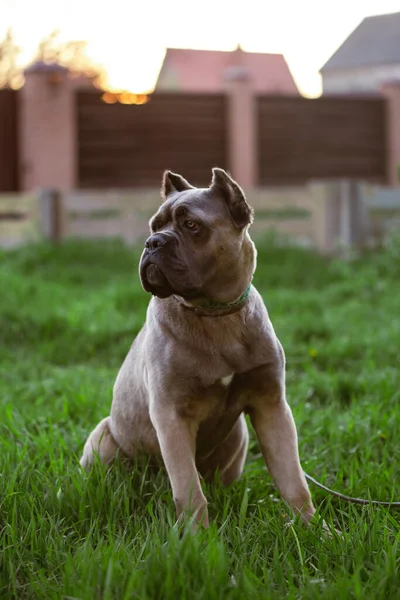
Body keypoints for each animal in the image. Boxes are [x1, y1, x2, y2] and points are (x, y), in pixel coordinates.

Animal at [79, 166, 314, 528]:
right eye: (154, 226)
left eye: (192, 225)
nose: (153, 242)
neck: (215, 314)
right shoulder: (172, 414)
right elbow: (188, 489)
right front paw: (198, 537)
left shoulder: (271, 406)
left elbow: (294, 480)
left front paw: (316, 530)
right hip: (104, 437)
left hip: (239, 436)